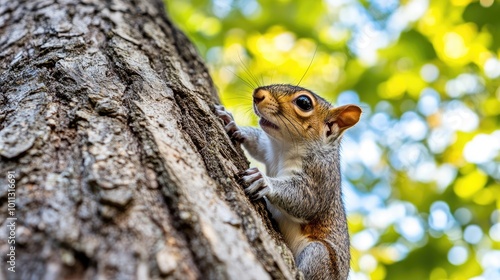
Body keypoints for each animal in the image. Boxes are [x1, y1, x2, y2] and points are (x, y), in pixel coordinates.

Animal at [215, 83, 360, 280]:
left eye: (304, 102)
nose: (257, 94)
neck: (284, 148)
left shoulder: (320, 176)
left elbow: (307, 201)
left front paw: (263, 181)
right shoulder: (268, 150)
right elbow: (258, 143)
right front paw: (232, 124)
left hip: (320, 255)